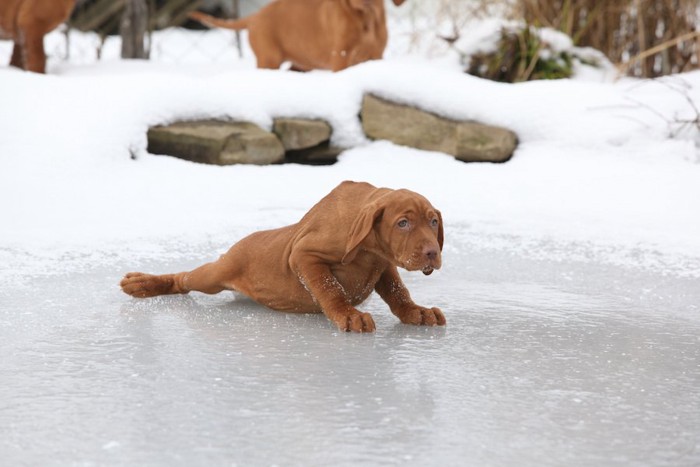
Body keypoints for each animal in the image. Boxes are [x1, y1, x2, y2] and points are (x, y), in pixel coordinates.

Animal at [119, 180, 442, 332]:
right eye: (403, 223)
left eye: (433, 222)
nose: (432, 253)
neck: (369, 250)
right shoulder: (303, 256)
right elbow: (330, 289)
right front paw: (348, 315)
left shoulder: (384, 265)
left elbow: (398, 292)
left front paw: (416, 311)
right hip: (216, 273)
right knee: (185, 278)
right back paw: (142, 284)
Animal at [189, 0, 408, 72]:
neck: (367, 17)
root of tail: (255, 16)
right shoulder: (341, 56)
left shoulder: (376, 55)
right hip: (269, 59)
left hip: (300, 65)